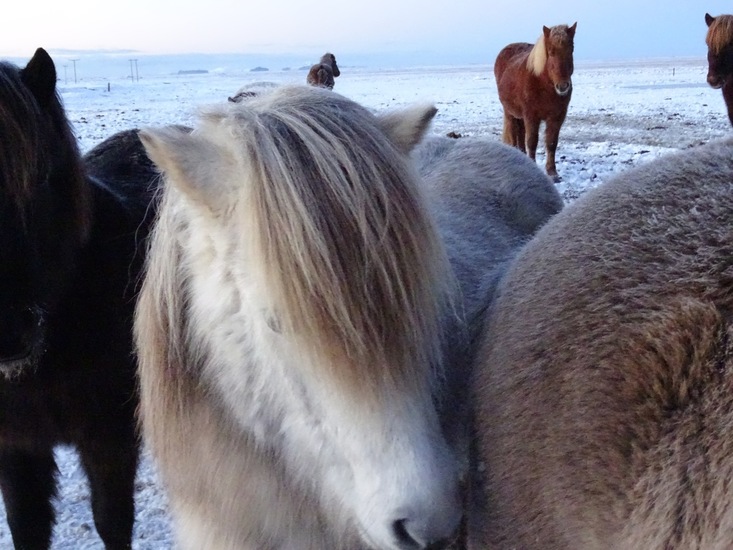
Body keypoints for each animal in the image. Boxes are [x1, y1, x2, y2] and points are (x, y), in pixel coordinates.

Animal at [0, 48, 160, 549]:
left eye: (40, 179)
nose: (9, 333)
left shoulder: (109, 439)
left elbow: (112, 521)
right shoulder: (16, 445)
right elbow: (27, 526)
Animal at [494, 22, 576, 181]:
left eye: (571, 49)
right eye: (550, 51)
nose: (563, 86)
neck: (543, 85)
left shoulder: (556, 117)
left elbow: (551, 143)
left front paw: (552, 172)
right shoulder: (531, 116)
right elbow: (532, 142)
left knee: (520, 134)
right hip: (510, 113)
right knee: (514, 134)